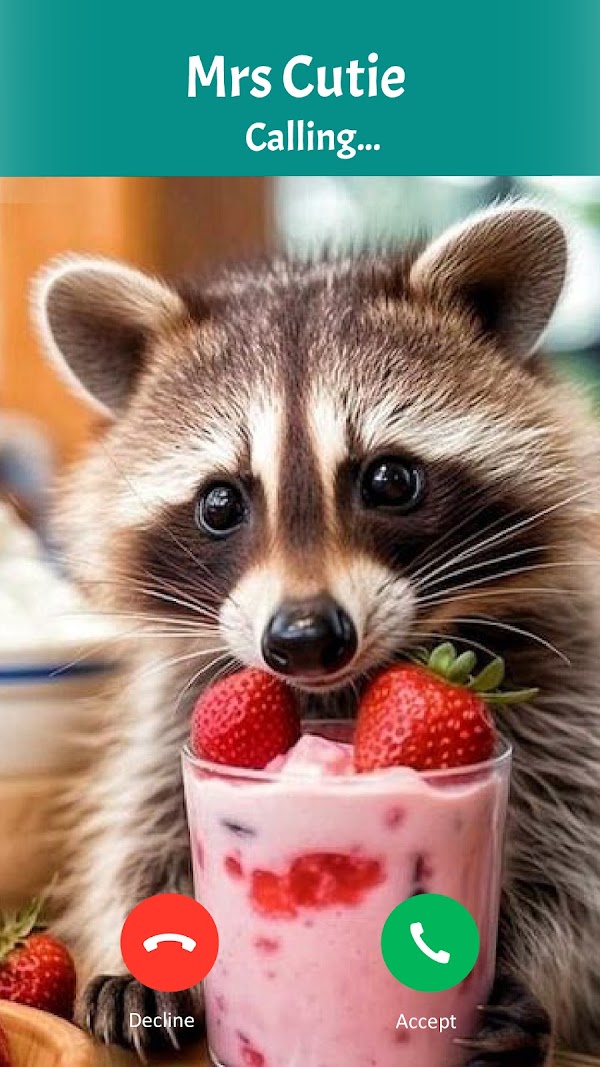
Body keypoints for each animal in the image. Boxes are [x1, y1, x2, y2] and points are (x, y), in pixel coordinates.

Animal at [34, 203, 600, 1065]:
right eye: (220, 502)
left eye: (390, 479)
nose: (303, 638)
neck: (339, 690)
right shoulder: (180, 702)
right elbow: (146, 820)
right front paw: (147, 945)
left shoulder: (566, 676)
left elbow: (575, 863)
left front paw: (528, 977)